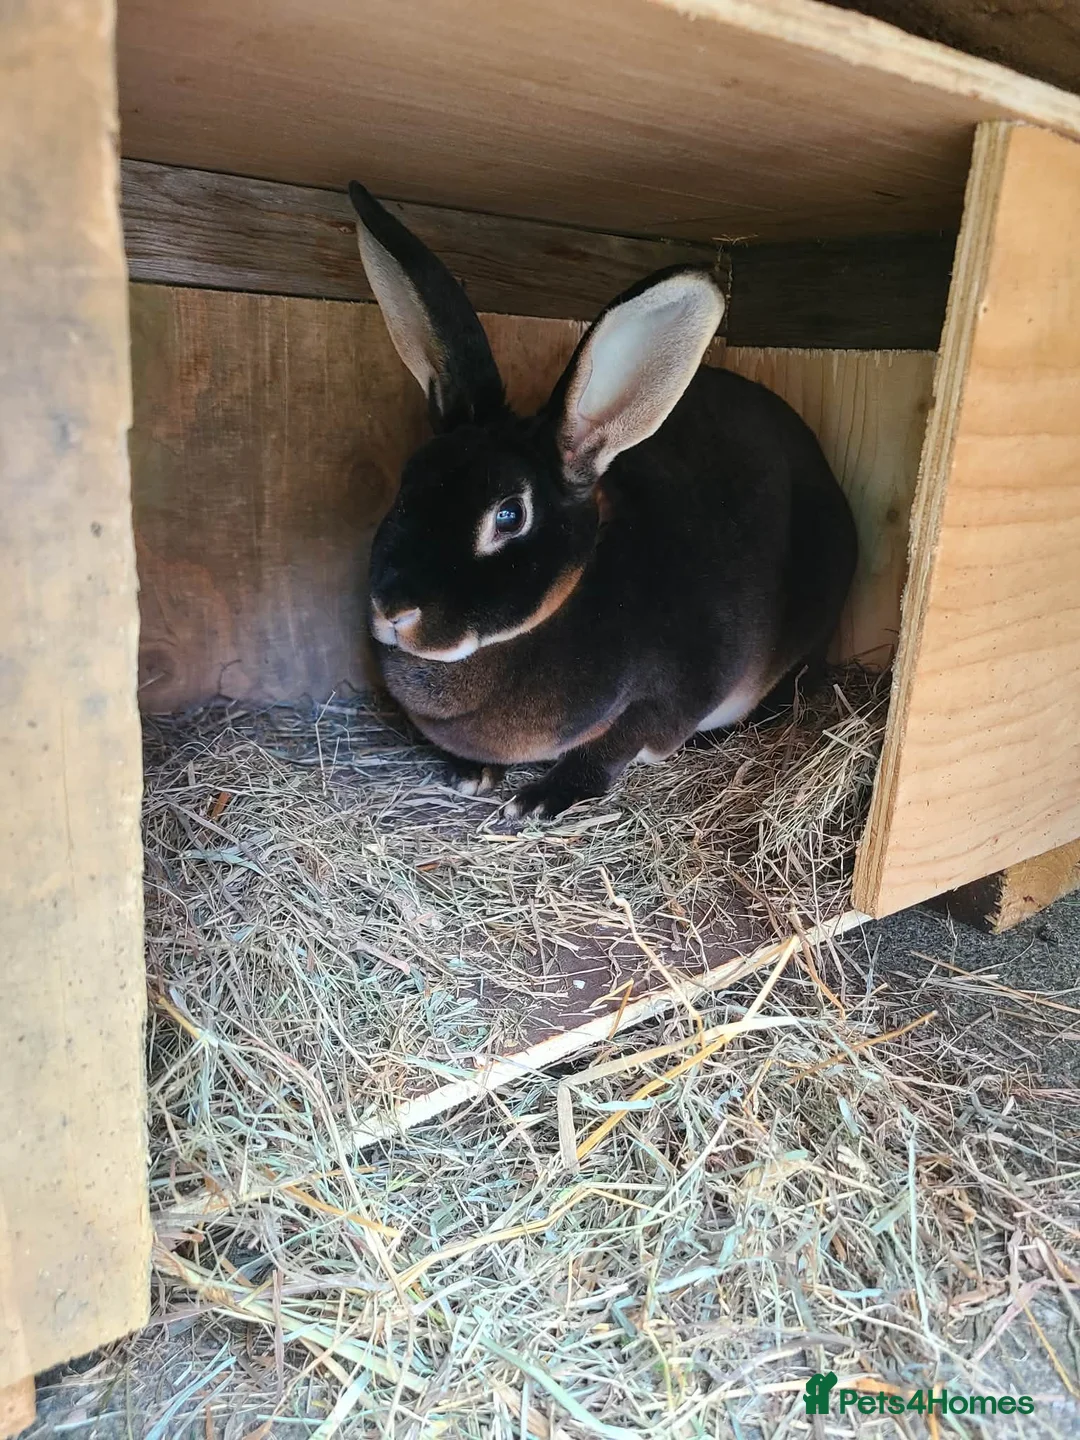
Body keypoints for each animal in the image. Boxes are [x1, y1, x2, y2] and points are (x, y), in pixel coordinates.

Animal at [349, 182, 858, 820]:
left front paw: (540, 799)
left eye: (509, 515)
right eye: (408, 480)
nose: (394, 612)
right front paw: (471, 773)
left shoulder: (665, 695)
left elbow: (611, 749)